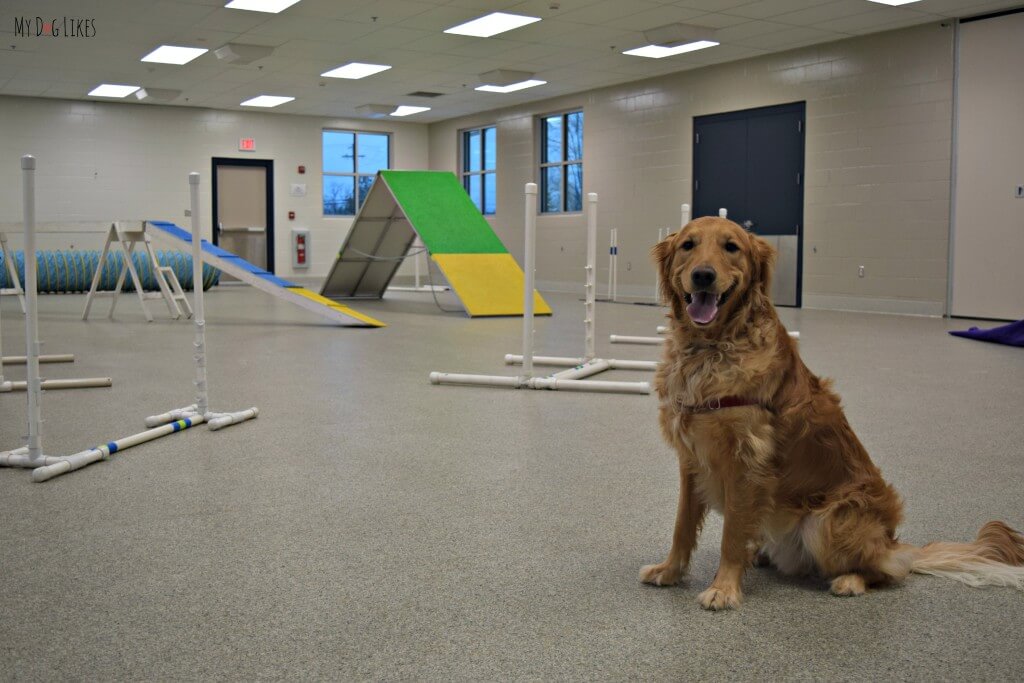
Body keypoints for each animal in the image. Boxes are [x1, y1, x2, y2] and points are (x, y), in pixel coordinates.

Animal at [643, 216, 1024, 610]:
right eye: (688, 245)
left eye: (731, 247)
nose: (703, 275)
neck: (711, 348)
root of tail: (891, 540)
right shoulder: (691, 460)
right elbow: (682, 526)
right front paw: (669, 571)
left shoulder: (746, 462)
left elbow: (731, 536)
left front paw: (724, 588)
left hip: (827, 521)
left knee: (890, 570)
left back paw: (851, 580)